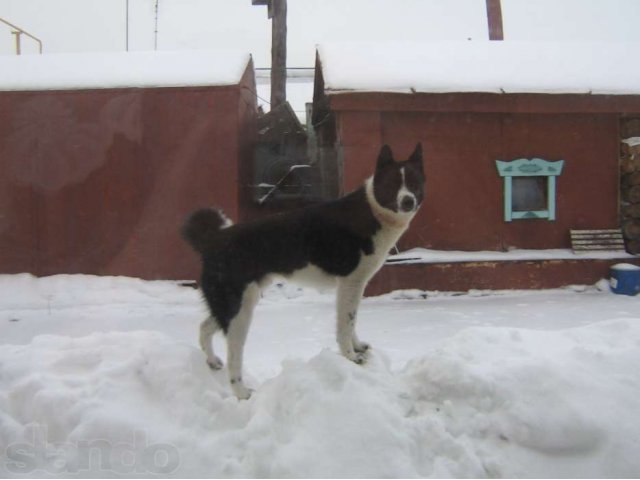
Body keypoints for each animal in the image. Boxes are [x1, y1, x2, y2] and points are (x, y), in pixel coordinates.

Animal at [182, 144, 424, 400]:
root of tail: (214, 240)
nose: (408, 201)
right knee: (233, 354)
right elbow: (346, 324)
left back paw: (212, 362)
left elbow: (352, 320)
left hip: (235, 304)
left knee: (204, 327)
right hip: (240, 310)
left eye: (414, 183)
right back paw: (242, 393)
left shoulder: (355, 286)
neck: (372, 212)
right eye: (392, 183)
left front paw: (357, 347)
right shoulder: (350, 283)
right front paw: (350, 356)